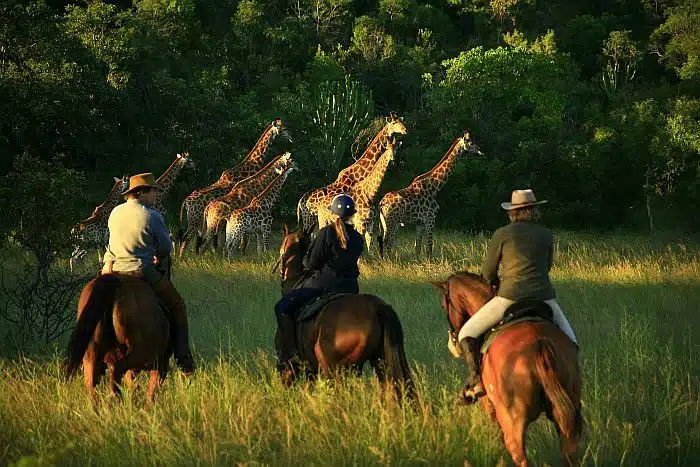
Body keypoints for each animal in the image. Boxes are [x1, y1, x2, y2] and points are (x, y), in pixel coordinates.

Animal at [63, 274, 172, 406]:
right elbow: (152, 388)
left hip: (91, 355)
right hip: (140, 353)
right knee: (116, 368)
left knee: (92, 385)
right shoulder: (160, 363)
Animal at [178, 119, 292, 256]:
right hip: (196, 220)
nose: (291, 138)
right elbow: (243, 238)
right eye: (284, 129)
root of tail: (185, 201)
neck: (248, 168)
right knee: (188, 237)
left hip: (196, 220)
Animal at [378, 131, 482, 260]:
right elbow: (429, 246)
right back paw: (388, 262)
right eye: (471, 142)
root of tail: (381, 203)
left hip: (386, 222)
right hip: (393, 221)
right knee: (387, 241)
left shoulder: (420, 223)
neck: (435, 187)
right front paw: (430, 262)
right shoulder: (430, 218)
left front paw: (418, 262)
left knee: (385, 241)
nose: (480, 149)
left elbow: (417, 247)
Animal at [430, 272, 584, 466]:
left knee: (518, 453)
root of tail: (540, 344)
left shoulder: (490, 406)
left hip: (511, 420)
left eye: (443, 306)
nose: (452, 345)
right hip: (569, 414)